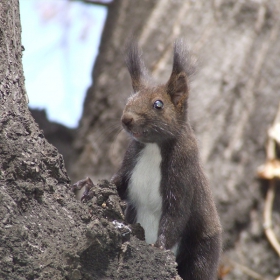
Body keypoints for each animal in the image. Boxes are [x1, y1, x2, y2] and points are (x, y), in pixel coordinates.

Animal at [110, 40, 222, 280]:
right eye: (129, 99)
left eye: (158, 104)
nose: (126, 119)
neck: (154, 147)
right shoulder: (130, 160)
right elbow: (118, 184)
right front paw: (88, 185)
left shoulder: (183, 172)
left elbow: (176, 215)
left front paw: (159, 247)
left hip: (203, 252)